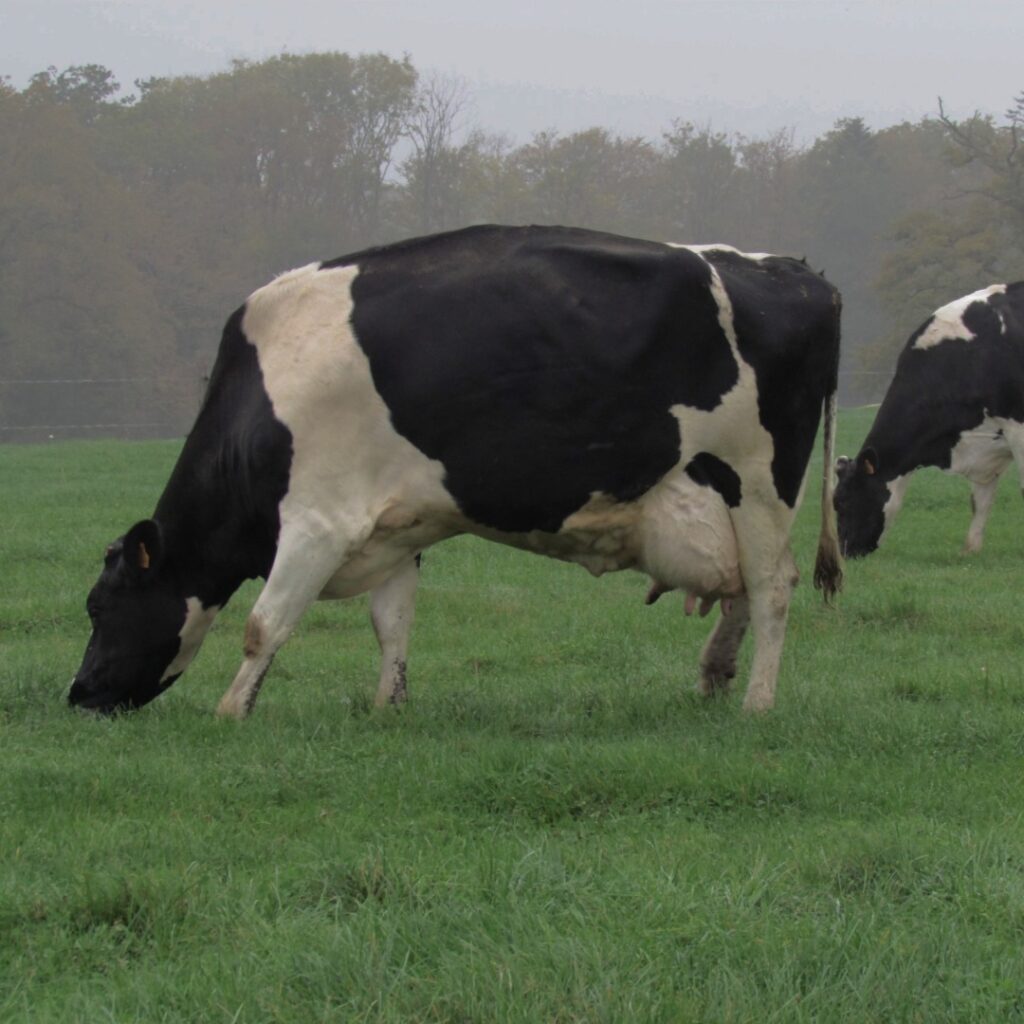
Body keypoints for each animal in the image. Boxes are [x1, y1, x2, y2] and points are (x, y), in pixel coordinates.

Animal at [68, 224, 842, 718]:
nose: (78, 695)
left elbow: (266, 623)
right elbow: (391, 625)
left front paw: (231, 710)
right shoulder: (397, 526)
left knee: (772, 587)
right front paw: (389, 706)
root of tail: (800, 271)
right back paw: (713, 678)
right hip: (729, 494)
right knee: (742, 588)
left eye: (98, 607)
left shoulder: (319, 519)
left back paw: (757, 704)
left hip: (760, 478)